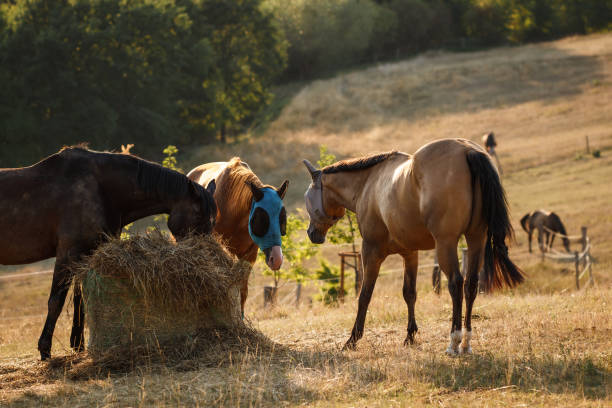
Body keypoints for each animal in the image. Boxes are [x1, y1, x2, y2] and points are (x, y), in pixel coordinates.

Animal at [0, 147, 219, 360]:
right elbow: (56, 301)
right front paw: (45, 349)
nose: (207, 255)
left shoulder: (87, 254)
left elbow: (81, 299)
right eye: (198, 215)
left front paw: (78, 344)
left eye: (213, 220)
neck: (100, 189)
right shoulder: (67, 254)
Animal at [304, 138, 524, 354]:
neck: (368, 183)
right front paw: (410, 336)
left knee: (455, 283)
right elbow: (409, 293)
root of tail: (468, 150)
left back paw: (454, 341)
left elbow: (365, 295)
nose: (311, 233)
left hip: (446, 244)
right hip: (476, 239)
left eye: (307, 198)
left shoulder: (370, 252)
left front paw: (352, 339)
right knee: (470, 284)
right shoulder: (410, 254)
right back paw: (466, 343)